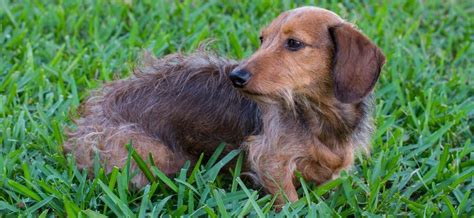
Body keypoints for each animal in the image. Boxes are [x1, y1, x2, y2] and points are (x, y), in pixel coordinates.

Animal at [64, 6, 386, 204]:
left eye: (294, 43)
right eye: (262, 38)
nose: (236, 76)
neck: (318, 116)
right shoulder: (269, 160)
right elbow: (289, 199)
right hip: (152, 154)